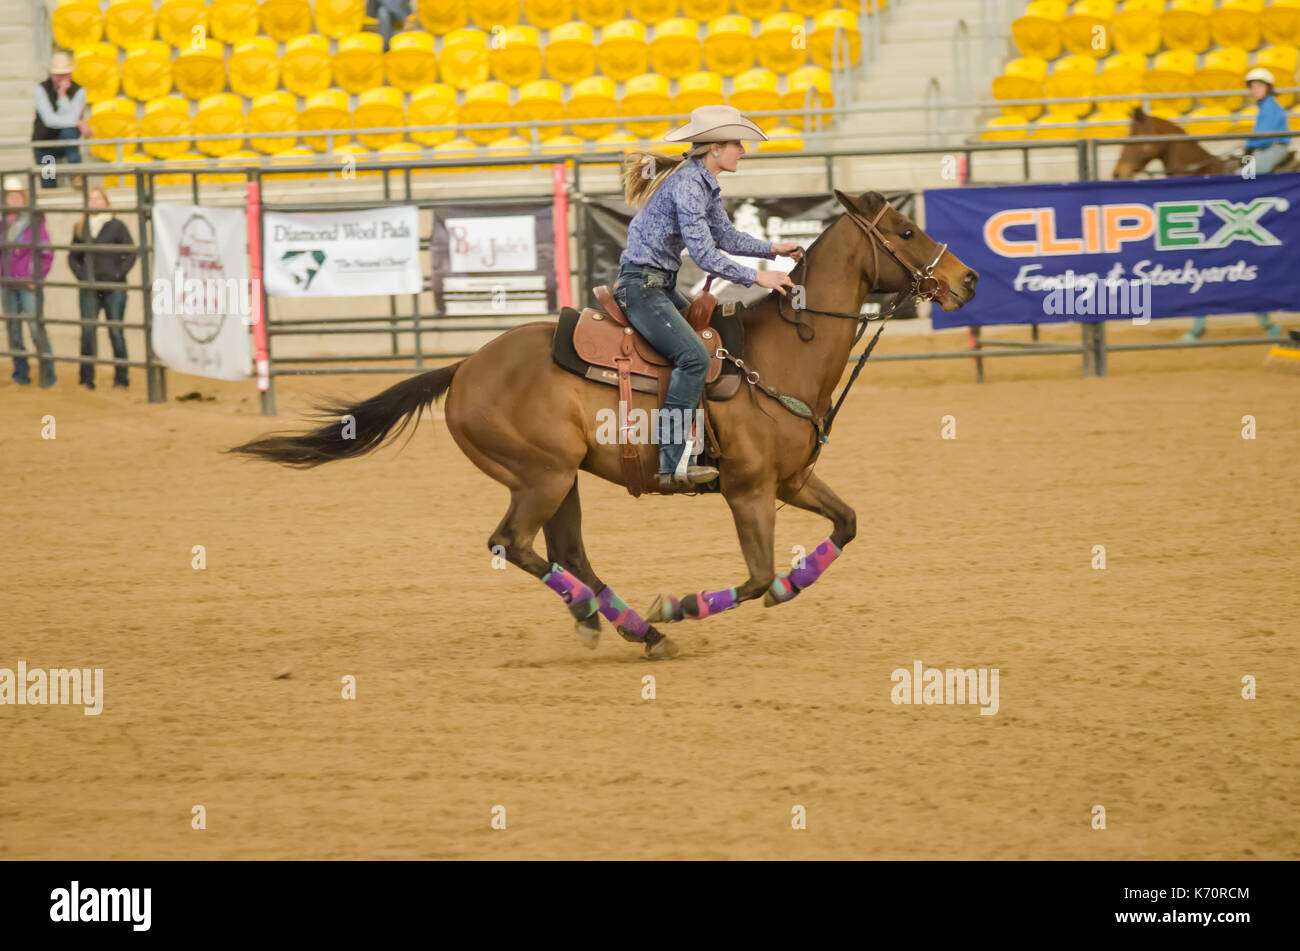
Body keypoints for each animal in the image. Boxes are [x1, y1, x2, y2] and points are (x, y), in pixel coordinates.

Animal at [228, 189, 979, 660]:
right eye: (906, 231)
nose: (968, 280)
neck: (777, 357)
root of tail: (465, 367)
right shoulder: (749, 491)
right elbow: (757, 574)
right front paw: (678, 605)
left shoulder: (794, 480)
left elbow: (844, 527)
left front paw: (781, 590)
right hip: (541, 475)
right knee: (514, 544)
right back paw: (629, 623)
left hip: (563, 480)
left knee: (567, 553)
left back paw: (626, 626)